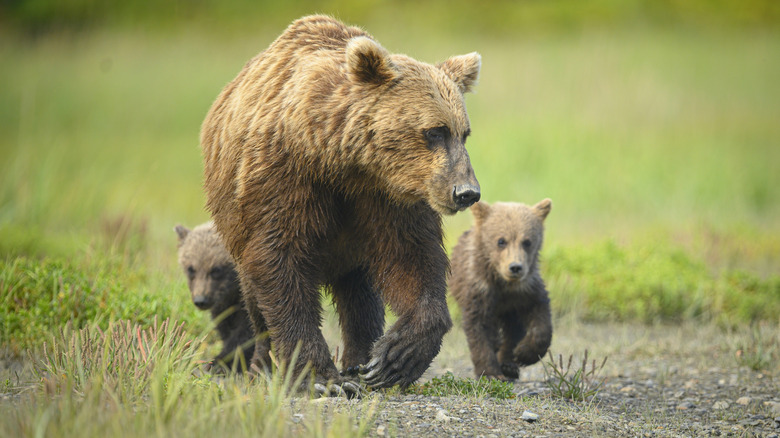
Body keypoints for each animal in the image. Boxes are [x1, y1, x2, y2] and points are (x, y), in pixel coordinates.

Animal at [173, 222, 266, 372]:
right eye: (191, 269)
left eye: (216, 269)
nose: (201, 300)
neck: (233, 295)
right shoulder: (223, 308)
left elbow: (246, 334)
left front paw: (218, 362)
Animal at [201, 16, 482, 394]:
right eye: (435, 131)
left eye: (463, 133)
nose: (466, 192)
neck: (342, 161)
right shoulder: (284, 178)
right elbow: (279, 261)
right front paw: (320, 378)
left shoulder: (385, 197)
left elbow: (413, 258)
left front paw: (394, 358)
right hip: (234, 216)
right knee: (254, 296)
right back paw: (263, 365)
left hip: (352, 250)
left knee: (359, 293)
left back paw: (359, 361)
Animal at [448, 198, 552, 380]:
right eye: (501, 241)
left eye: (527, 241)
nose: (515, 267)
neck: (504, 284)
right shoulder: (479, 289)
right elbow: (479, 327)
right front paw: (490, 373)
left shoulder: (527, 289)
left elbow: (541, 317)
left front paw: (524, 353)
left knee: (513, 329)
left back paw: (508, 364)